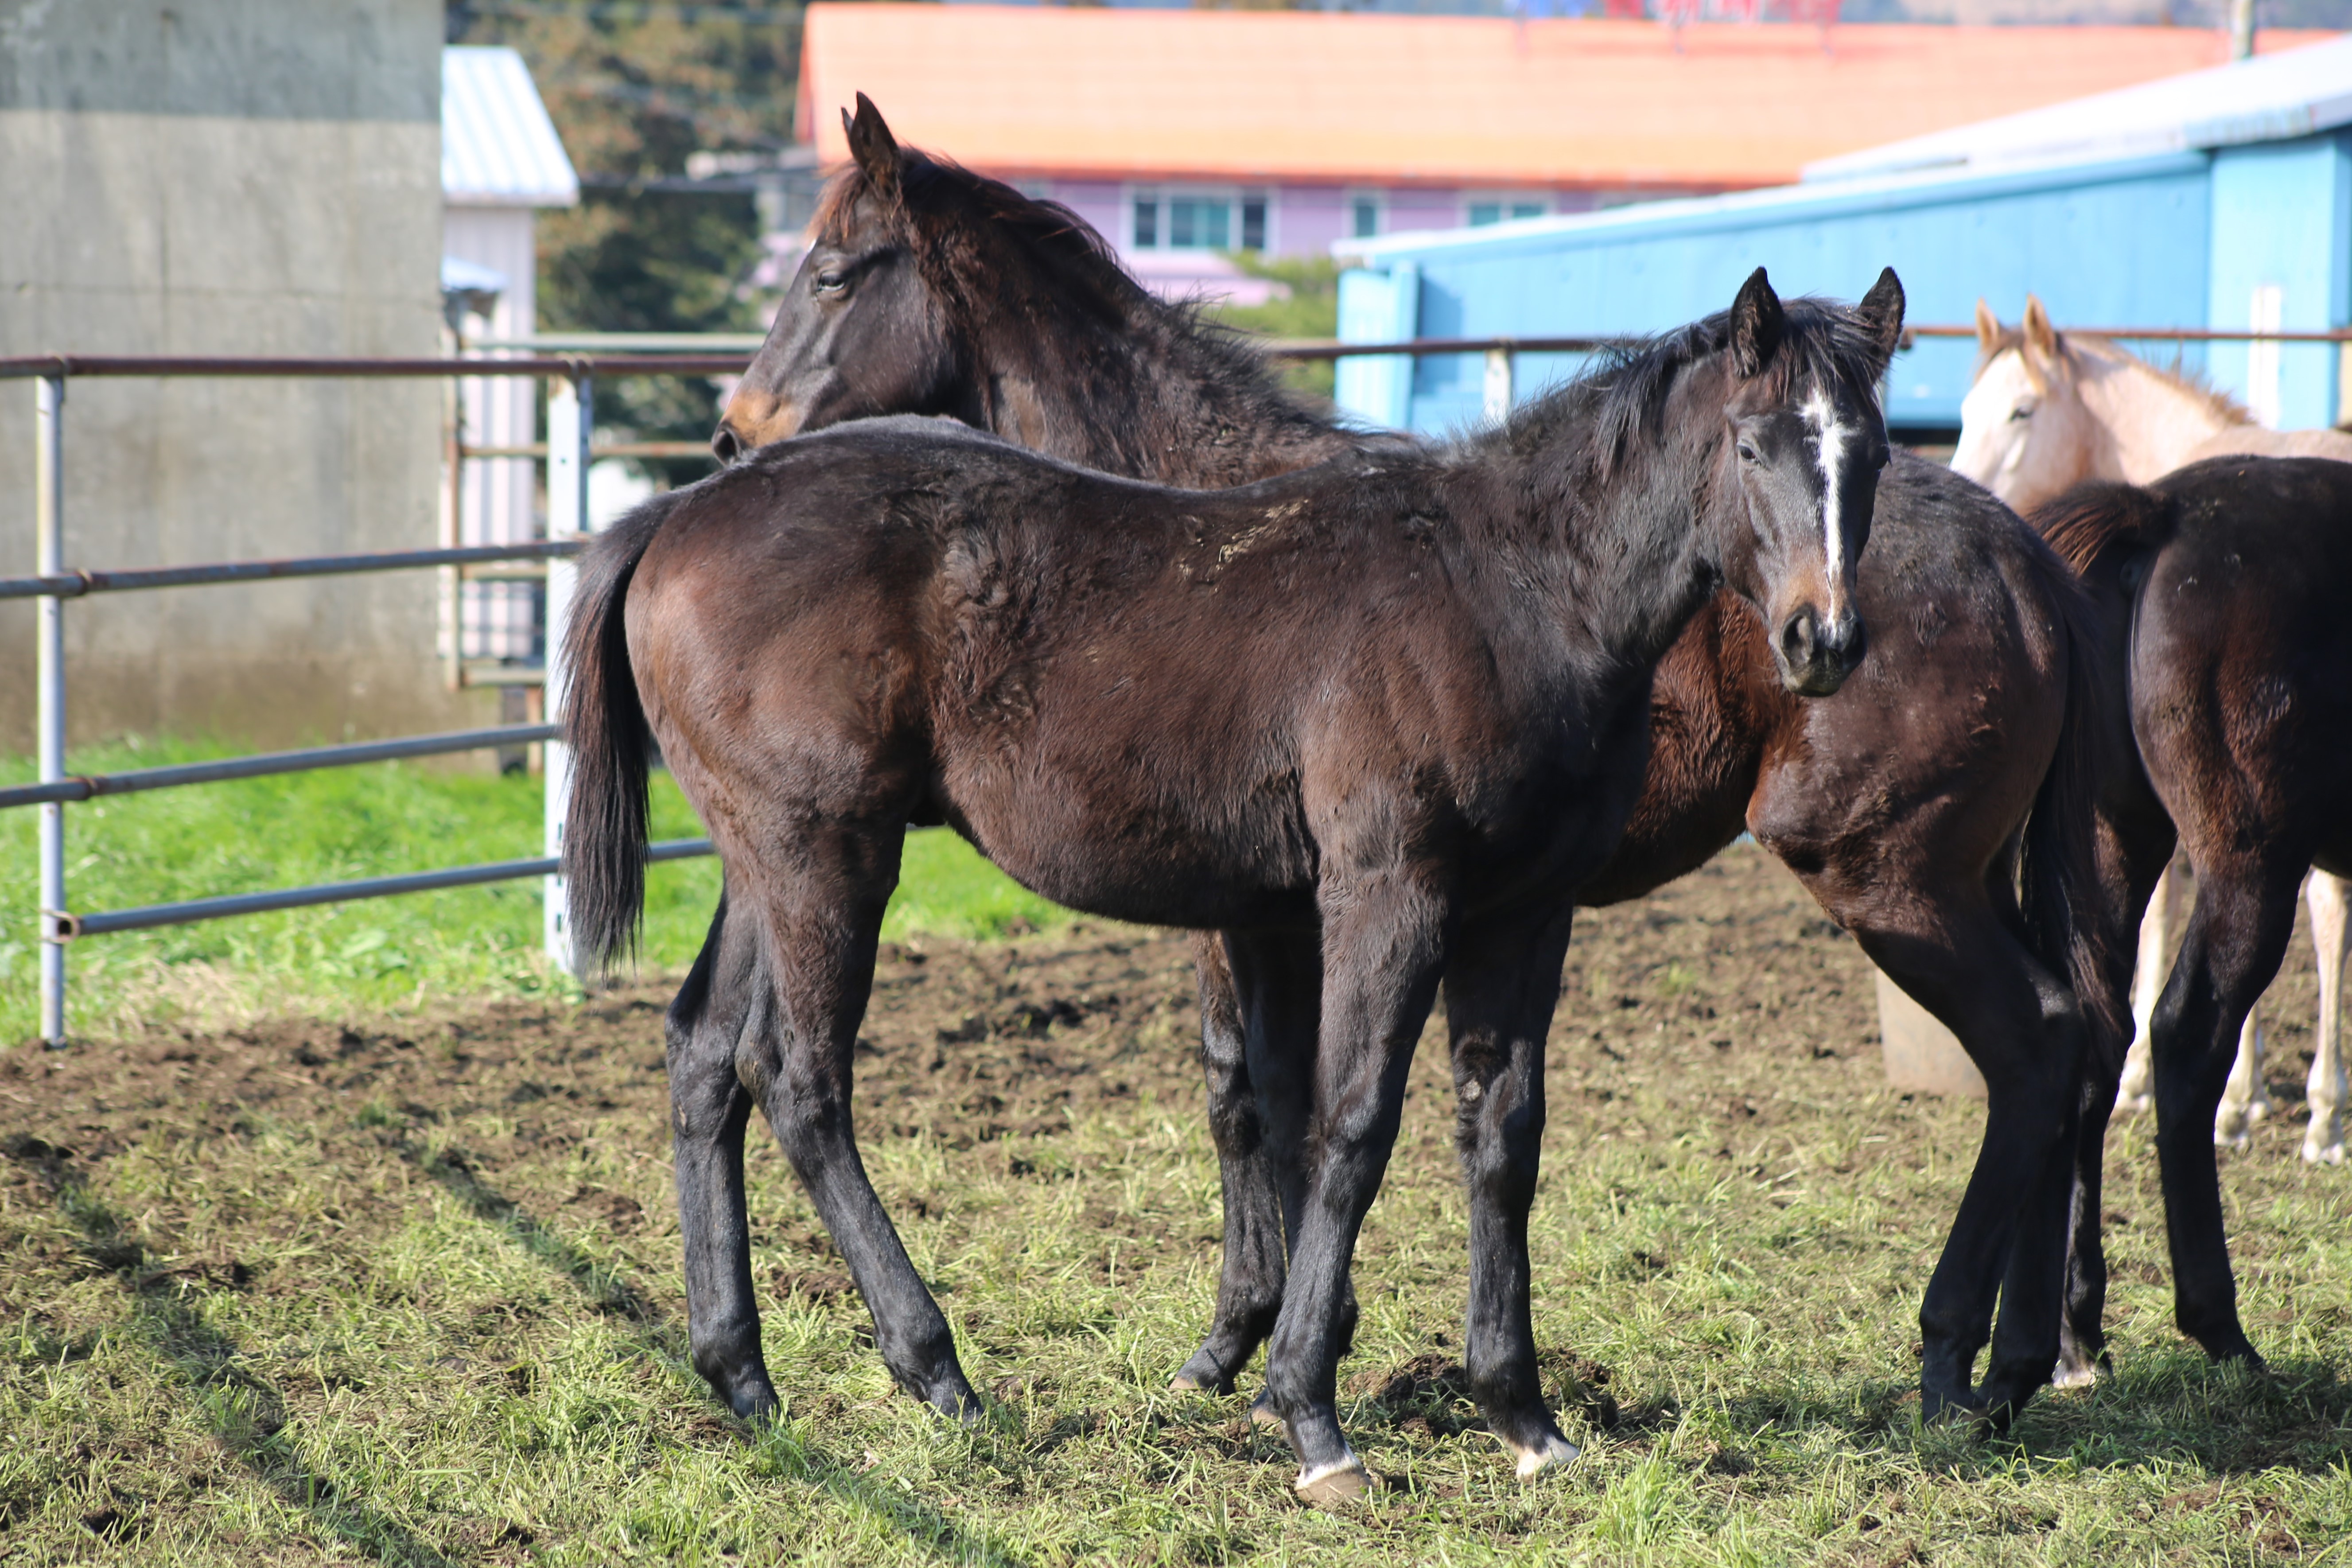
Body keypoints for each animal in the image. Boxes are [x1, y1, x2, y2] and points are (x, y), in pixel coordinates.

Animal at [574, 276, 1909, 1504]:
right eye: (1750, 443)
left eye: (1873, 450)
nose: (1823, 641)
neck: (1511, 591)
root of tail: (681, 512)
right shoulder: (1385, 892)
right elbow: (1348, 1122)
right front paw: (1311, 1418)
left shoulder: (1526, 911)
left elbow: (1500, 1132)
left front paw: (1521, 1416)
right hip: (827, 853)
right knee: (798, 1076)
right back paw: (938, 1372)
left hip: (770, 856)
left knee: (704, 1052)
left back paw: (745, 1381)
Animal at [705, 104, 2126, 1439]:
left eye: (829, 273)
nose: (731, 434)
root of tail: (2024, 559)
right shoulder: (1285, 902)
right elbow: (1282, 1094)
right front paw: (1284, 1346)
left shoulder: (1262, 906)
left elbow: (1250, 1096)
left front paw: (1247, 1347)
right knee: (2075, 1040)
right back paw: (2031, 1352)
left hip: (1888, 875)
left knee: (2035, 1045)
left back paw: (1958, 1351)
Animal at [1947, 301, 2352, 1171]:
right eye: (1962, 412)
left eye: (2021, 411)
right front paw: (2244, 1090)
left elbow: (2168, 916)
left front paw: (2186, 1087)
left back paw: (2321, 1110)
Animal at [2041, 456, 2352, 1382]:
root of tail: (2164, 510)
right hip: (2247, 864)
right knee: (2183, 1036)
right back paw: (2220, 1329)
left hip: (2115, 842)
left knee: (2099, 1038)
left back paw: (2075, 1330)